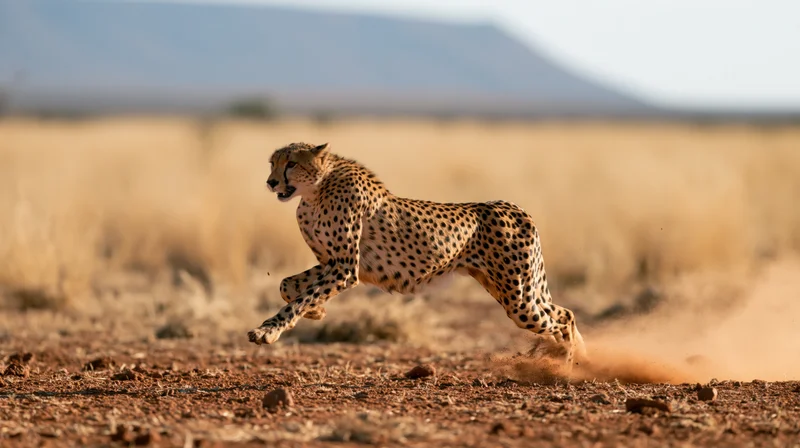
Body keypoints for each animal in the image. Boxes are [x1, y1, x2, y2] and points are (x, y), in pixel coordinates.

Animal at [248, 142, 587, 368]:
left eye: (291, 163)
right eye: (272, 163)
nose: (271, 181)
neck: (316, 191)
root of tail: (512, 206)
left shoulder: (344, 268)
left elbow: (299, 299)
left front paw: (268, 331)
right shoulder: (333, 263)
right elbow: (288, 285)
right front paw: (316, 312)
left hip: (518, 297)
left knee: (560, 320)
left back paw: (568, 364)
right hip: (511, 289)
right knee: (564, 313)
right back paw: (579, 356)